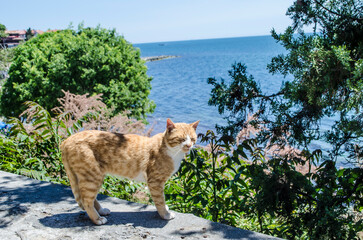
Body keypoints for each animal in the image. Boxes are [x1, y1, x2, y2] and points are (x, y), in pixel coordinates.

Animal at [61, 118, 200, 225]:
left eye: (193, 139)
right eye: (181, 139)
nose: (189, 146)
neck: (172, 152)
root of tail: (67, 140)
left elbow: (162, 199)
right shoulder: (155, 182)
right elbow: (160, 199)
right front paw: (165, 214)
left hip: (92, 177)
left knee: (90, 198)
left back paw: (101, 211)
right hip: (92, 176)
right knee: (86, 201)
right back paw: (97, 219)